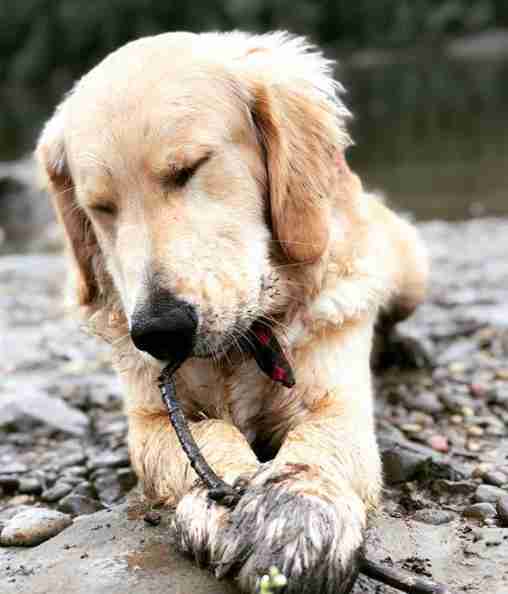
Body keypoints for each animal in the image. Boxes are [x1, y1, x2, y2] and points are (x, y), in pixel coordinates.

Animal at [34, 31, 428, 592]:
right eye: (101, 208)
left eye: (189, 169)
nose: (160, 332)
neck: (240, 352)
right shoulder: (149, 420)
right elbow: (205, 435)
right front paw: (229, 499)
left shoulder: (337, 402)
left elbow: (319, 442)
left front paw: (298, 511)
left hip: (412, 269)